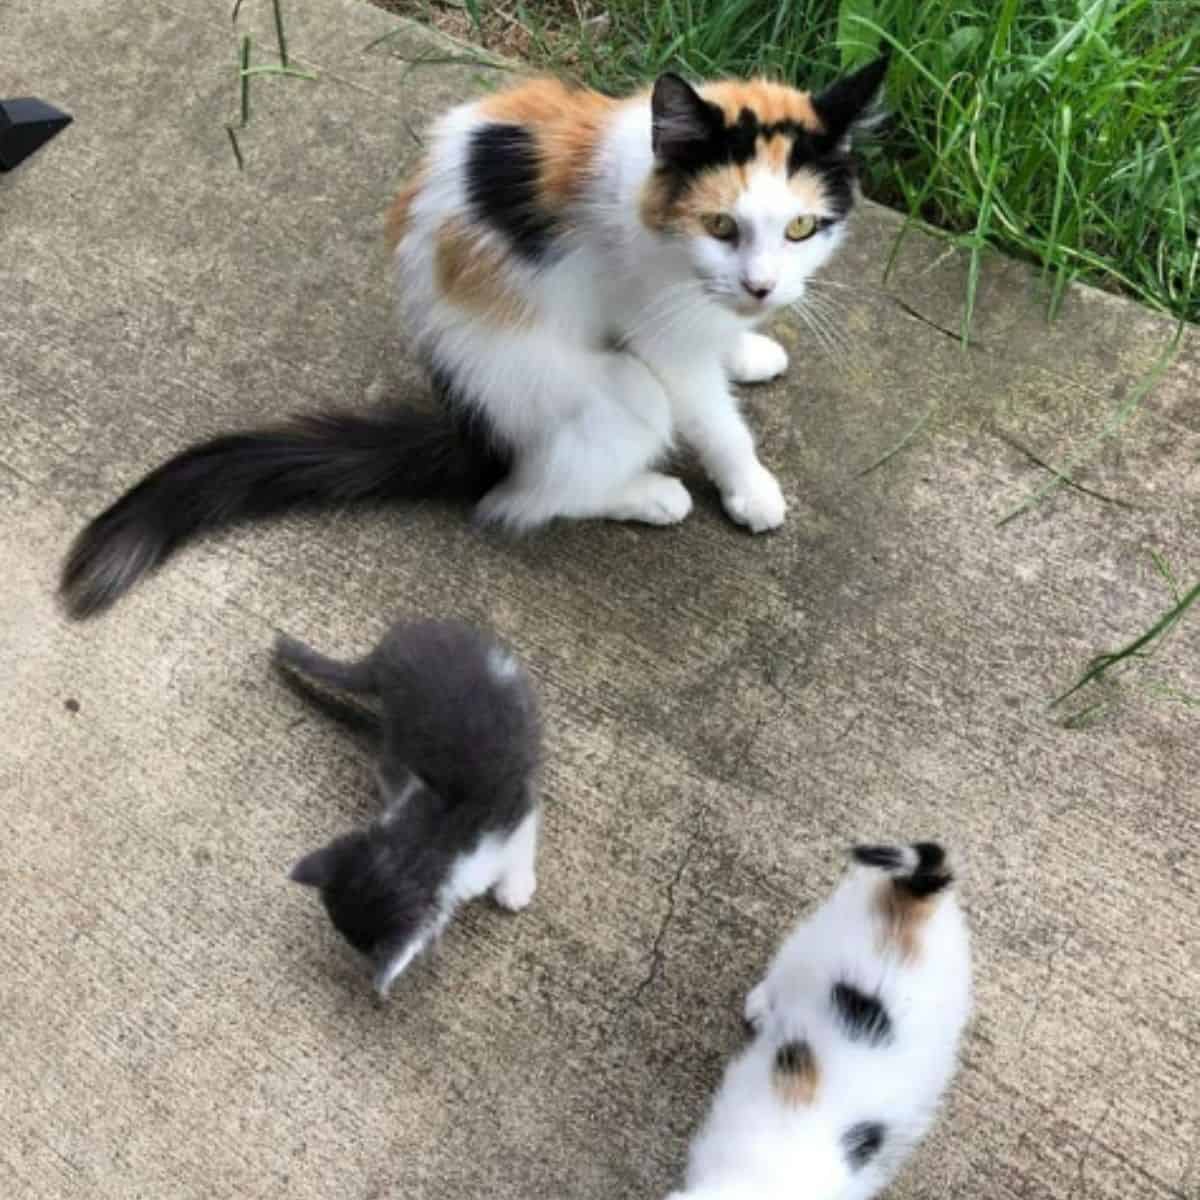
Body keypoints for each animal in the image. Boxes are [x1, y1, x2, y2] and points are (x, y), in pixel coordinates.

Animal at [58, 57, 892, 619]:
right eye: (721, 225)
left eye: (801, 228)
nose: (762, 287)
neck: (645, 193)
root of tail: (473, 426)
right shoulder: (659, 339)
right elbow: (714, 419)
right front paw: (750, 487)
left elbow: (722, 342)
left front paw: (748, 350)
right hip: (609, 393)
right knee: (523, 496)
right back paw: (648, 495)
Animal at [276, 619, 540, 993]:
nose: (357, 957)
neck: (429, 839)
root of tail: (386, 655)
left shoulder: (510, 807)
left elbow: (522, 841)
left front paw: (515, 888)